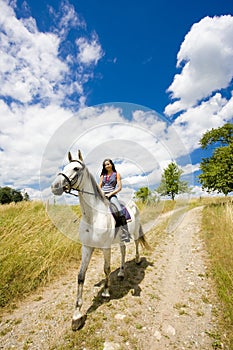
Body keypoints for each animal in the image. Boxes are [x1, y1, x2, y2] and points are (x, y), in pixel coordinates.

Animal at [50, 150, 150, 330]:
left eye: (76, 168)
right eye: (64, 167)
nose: (55, 186)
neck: (93, 216)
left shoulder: (105, 247)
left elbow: (106, 268)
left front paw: (105, 291)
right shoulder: (86, 247)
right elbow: (81, 275)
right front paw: (76, 315)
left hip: (134, 232)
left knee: (137, 243)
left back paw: (138, 260)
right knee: (123, 251)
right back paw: (122, 273)